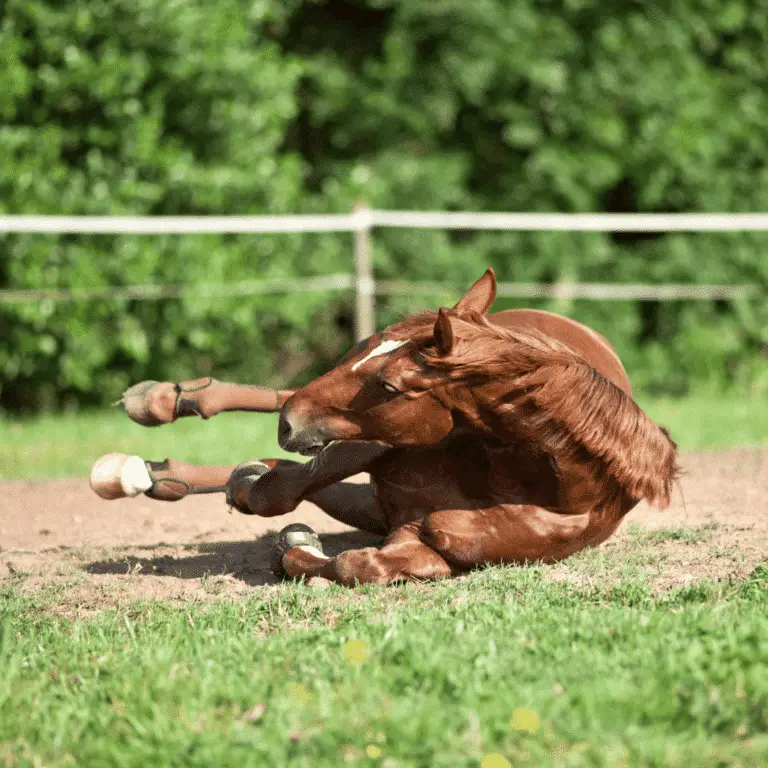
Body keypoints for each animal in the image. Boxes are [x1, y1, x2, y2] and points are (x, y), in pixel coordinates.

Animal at [91, 270, 680, 588]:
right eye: (374, 353)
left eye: (392, 387)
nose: (289, 424)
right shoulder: (376, 441)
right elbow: (281, 489)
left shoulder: (420, 538)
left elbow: (359, 563)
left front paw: (299, 544)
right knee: (285, 426)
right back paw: (164, 407)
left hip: (369, 491)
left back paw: (167, 472)